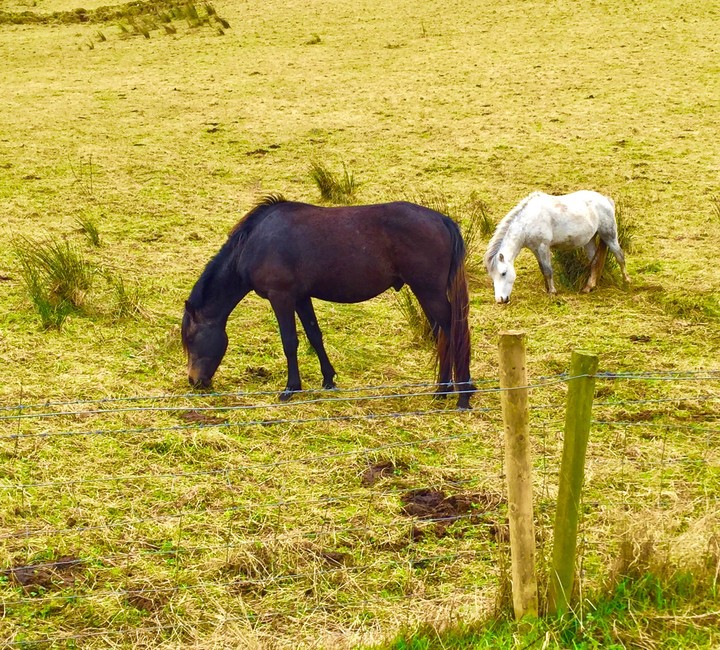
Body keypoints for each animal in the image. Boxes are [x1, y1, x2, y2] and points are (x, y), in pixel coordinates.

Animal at [181, 195, 474, 408]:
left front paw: (291, 388)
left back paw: (461, 394)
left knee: (452, 332)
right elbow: (314, 335)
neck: (254, 243)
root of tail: (442, 220)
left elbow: (290, 341)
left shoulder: (282, 297)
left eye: (191, 339)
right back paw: (442, 391)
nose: (195, 381)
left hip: (429, 292)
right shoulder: (301, 297)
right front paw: (328, 380)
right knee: (443, 335)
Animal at [484, 190, 631, 303]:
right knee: (595, 263)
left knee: (619, 256)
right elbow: (543, 270)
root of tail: (606, 200)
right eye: (492, 276)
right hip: (589, 241)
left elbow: (548, 270)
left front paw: (552, 292)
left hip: (609, 236)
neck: (527, 221)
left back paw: (626, 281)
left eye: (503, 273)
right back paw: (588, 288)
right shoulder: (535, 249)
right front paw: (547, 289)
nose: (500, 300)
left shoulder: (543, 247)